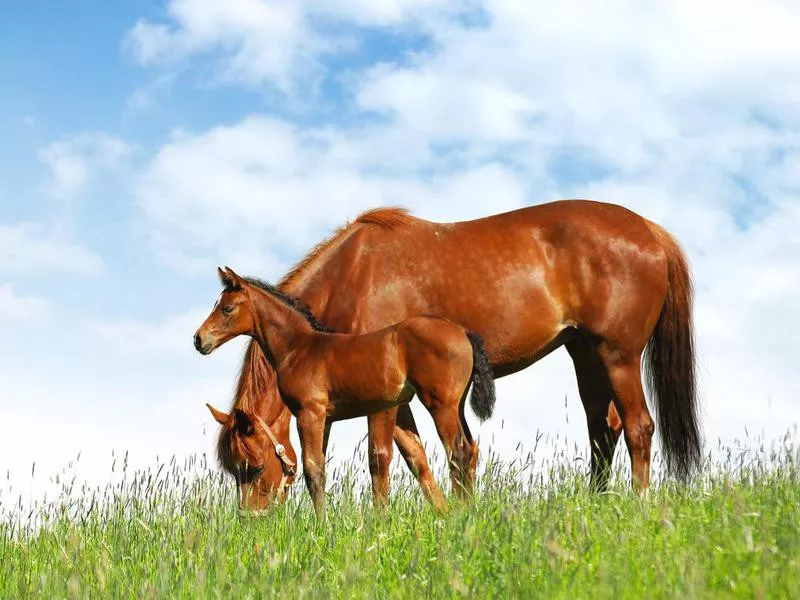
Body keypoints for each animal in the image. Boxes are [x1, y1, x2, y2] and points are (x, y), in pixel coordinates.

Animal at [195, 268, 494, 516]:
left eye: (227, 308)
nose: (199, 339)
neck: (299, 348)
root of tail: (464, 333)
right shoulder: (325, 418)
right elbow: (320, 468)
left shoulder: (309, 414)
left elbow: (313, 471)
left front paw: (321, 527)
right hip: (456, 405)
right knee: (470, 449)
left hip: (440, 404)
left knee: (458, 453)